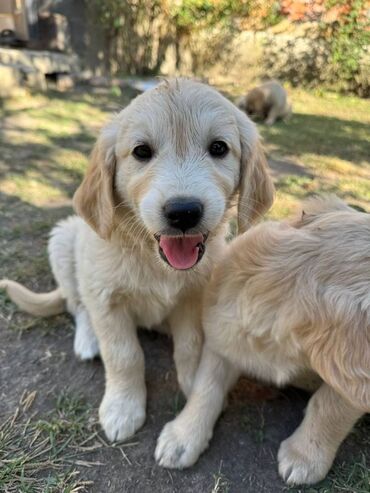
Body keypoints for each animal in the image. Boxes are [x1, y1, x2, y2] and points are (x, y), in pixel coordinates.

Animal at [0, 78, 274, 442]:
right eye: (141, 152)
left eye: (219, 148)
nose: (183, 212)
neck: (152, 259)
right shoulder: (106, 299)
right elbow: (124, 355)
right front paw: (123, 408)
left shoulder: (193, 298)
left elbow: (190, 346)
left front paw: (193, 389)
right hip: (63, 239)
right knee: (76, 304)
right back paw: (87, 339)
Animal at [156, 195, 370, 484]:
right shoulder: (223, 336)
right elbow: (206, 387)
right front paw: (182, 438)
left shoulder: (352, 382)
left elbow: (329, 409)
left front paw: (303, 459)